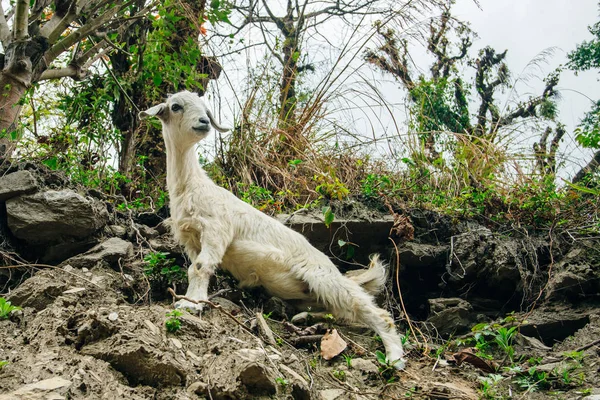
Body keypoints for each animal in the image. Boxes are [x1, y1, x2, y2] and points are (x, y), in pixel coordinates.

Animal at [138, 90, 406, 368]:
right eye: (176, 106)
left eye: (205, 109)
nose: (203, 122)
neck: (192, 185)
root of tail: (332, 268)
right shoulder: (191, 239)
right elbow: (195, 268)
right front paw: (190, 299)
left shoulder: (216, 229)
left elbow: (201, 267)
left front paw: (191, 305)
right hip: (309, 293)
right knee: (337, 310)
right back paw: (302, 319)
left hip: (323, 277)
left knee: (370, 309)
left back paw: (394, 356)